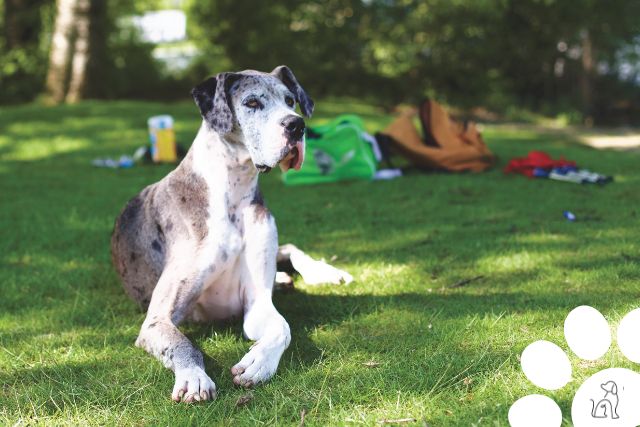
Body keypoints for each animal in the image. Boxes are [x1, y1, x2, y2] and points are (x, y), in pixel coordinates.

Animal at [110, 67, 350, 404]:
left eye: (290, 100)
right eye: (252, 102)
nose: (296, 125)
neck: (233, 193)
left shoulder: (257, 303)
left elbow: (283, 327)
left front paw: (259, 363)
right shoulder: (157, 319)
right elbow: (183, 344)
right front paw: (193, 377)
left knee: (290, 248)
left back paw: (322, 272)